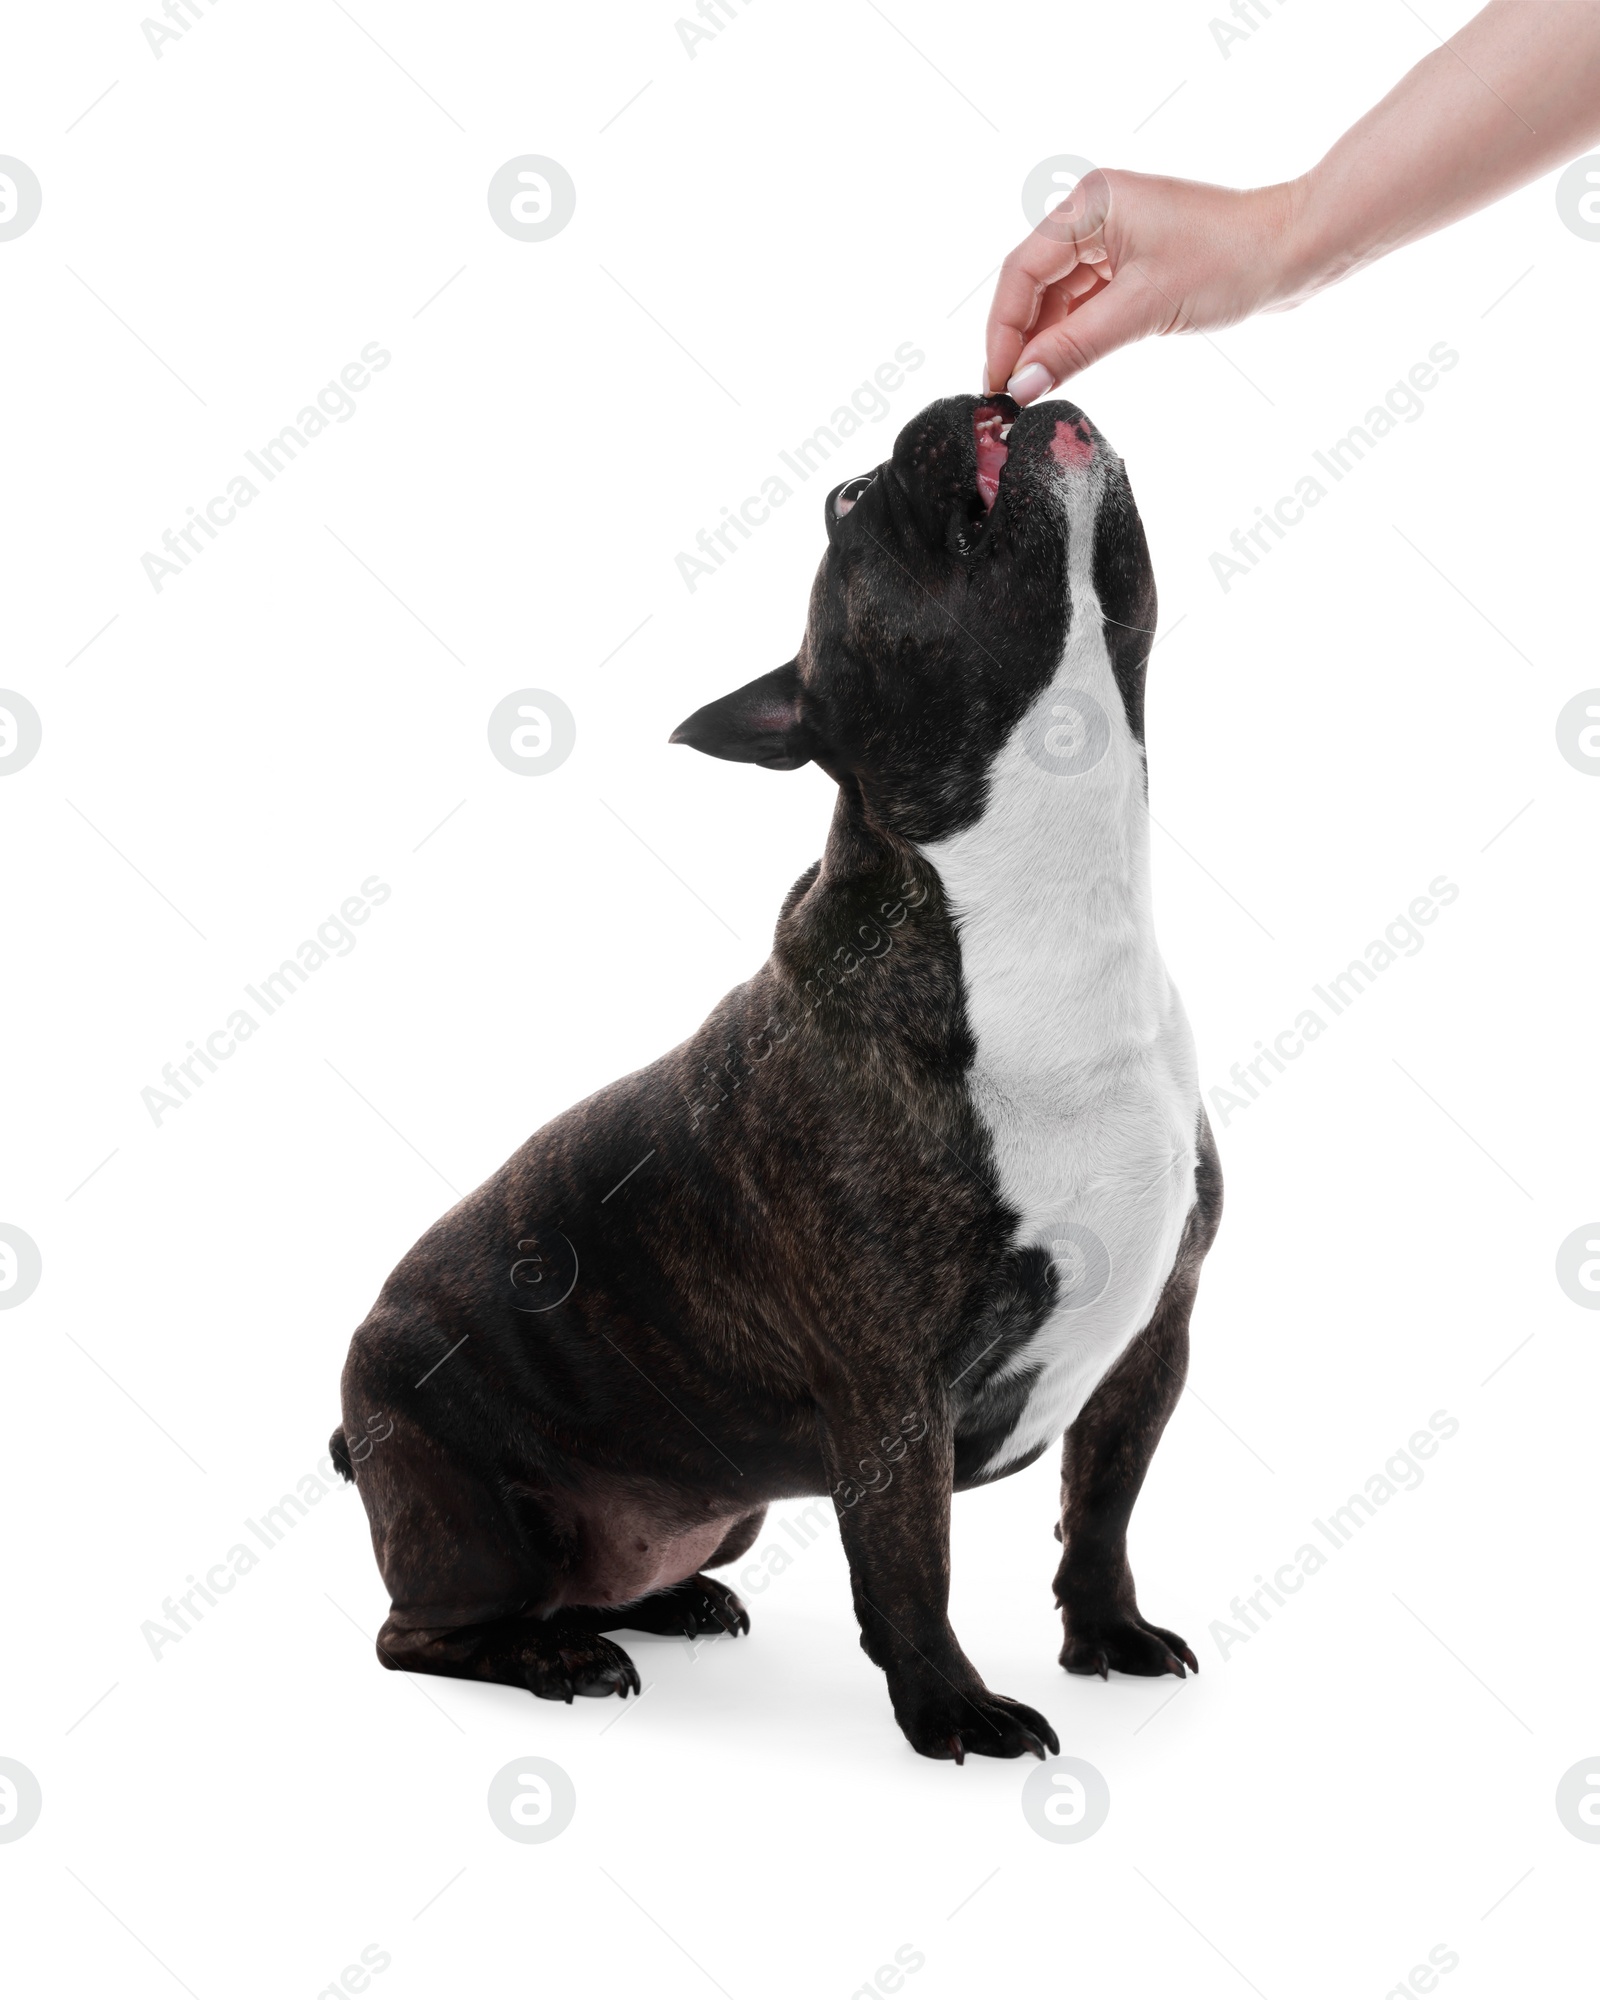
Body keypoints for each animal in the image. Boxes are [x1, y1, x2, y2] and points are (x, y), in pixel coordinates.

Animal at [332, 386, 1216, 1752]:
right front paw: (952, 1711)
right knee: (422, 1631)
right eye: (850, 505)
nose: (961, 400)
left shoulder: (1152, 1336)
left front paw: (1106, 1632)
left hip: (717, 1506)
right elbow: (909, 1564)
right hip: (462, 1510)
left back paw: (666, 1601)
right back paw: (554, 1657)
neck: (1047, 897)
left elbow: (1105, 1511)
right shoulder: (889, 1390)